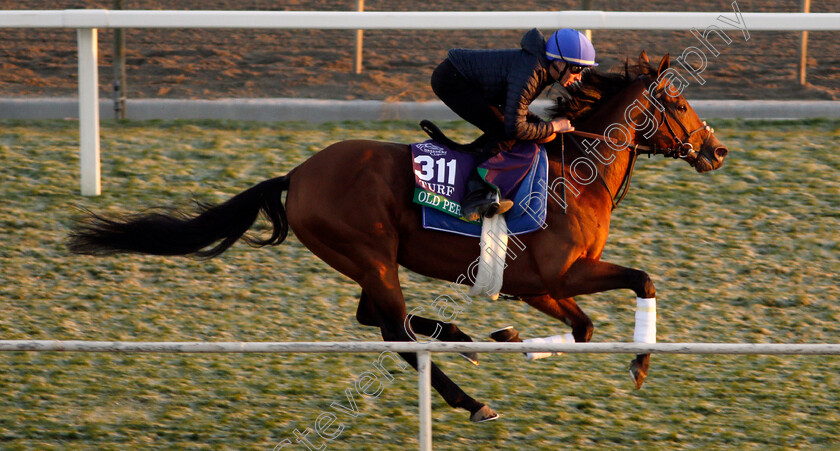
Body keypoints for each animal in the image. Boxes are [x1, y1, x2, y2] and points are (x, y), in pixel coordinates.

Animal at [67, 53, 728, 424]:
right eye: (677, 101)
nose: (717, 150)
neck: (575, 169)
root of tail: (297, 174)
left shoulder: (537, 285)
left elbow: (584, 328)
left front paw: (510, 338)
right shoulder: (556, 273)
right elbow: (640, 281)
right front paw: (640, 361)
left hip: (369, 260)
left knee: (379, 321)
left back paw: (462, 338)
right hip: (369, 252)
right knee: (394, 333)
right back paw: (472, 398)